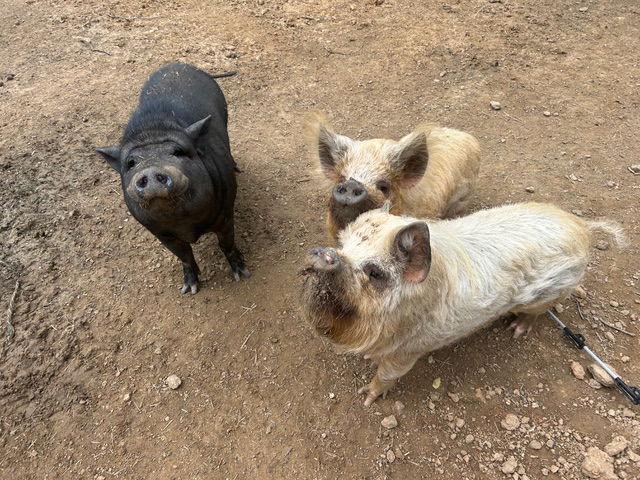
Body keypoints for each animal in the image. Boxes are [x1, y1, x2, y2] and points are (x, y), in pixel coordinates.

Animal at [96, 63, 249, 294]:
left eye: (178, 152)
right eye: (131, 163)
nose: (151, 170)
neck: (184, 224)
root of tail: (181, 64)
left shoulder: (225, 212)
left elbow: (226, 243)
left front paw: (242, 274)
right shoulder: (160, 232)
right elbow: (183, 255)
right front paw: (189, 289)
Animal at [300, 202, 625, 405]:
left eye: (374, 272)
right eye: (343, 246)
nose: (325, 254)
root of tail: (582, 227)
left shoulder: (409, 350)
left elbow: (387, 375)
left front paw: (366, 397)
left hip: (552, 294)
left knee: (538, 312)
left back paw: (516, 329)